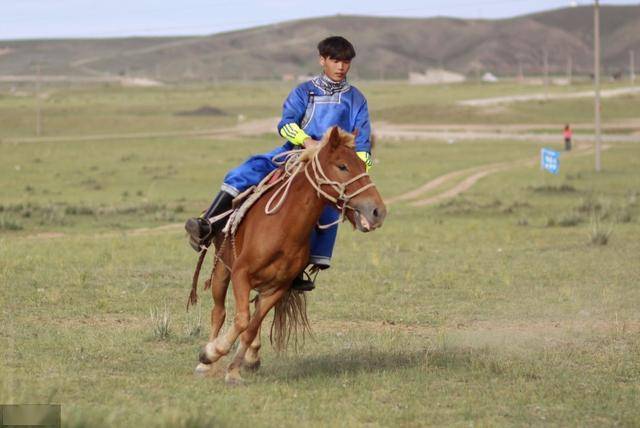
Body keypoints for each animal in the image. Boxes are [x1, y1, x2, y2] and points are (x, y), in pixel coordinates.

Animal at [188, 126, 388, 384]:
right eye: (342, 166)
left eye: (364, 165)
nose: (377, 211)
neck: (282, 227)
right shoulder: (240, 274)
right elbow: (241, 319)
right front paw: (211, 353)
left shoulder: (278, 287)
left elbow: (251, 326)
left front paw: (234, 371)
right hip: (222, 269)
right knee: (219, 312)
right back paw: (206, 363)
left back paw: (251, 356)